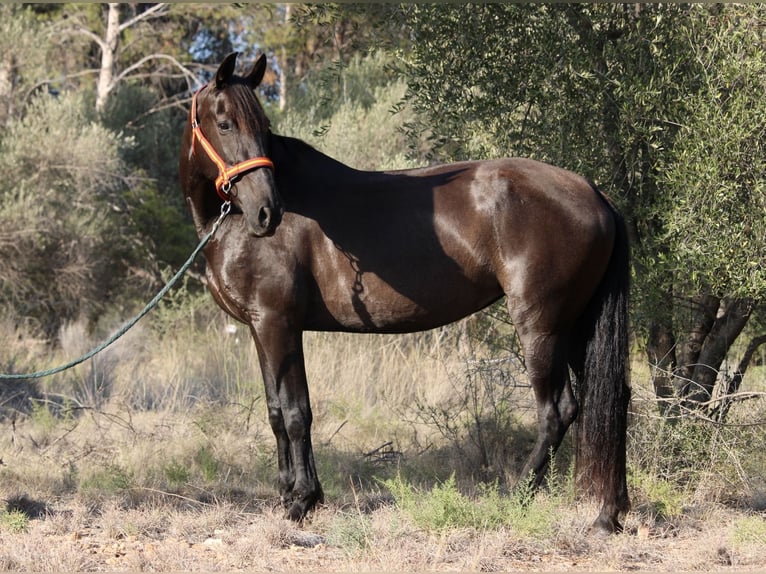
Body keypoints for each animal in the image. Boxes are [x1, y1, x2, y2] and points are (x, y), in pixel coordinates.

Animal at [178, 53, 632, 536]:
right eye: (225, 124)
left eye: (262, 125)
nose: (268, 212)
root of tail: (594, 193)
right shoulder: (261, 329)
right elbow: (276, 412)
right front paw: (288, 493)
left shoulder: (278, 323)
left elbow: (297, 412)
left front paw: (303, 501)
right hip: (579, 325)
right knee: (615, 399)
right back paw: (608, 514)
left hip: (542, 325)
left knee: (557, 410)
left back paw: (518, 497)